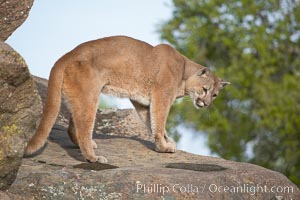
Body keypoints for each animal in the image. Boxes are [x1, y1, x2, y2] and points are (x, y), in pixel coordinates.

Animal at [25, 36, 230, 163]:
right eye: (204, 89)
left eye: (215, 95)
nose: (206, 104)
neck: (184, 72)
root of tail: (67, 55)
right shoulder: (161, 95)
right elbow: (160, 121)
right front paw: (164, 147)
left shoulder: (143, 102)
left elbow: (153, 123)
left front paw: (165, 143)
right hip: (90, 98)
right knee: (83, 129)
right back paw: (93, 158)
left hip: (80, 97)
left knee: (72, 126)